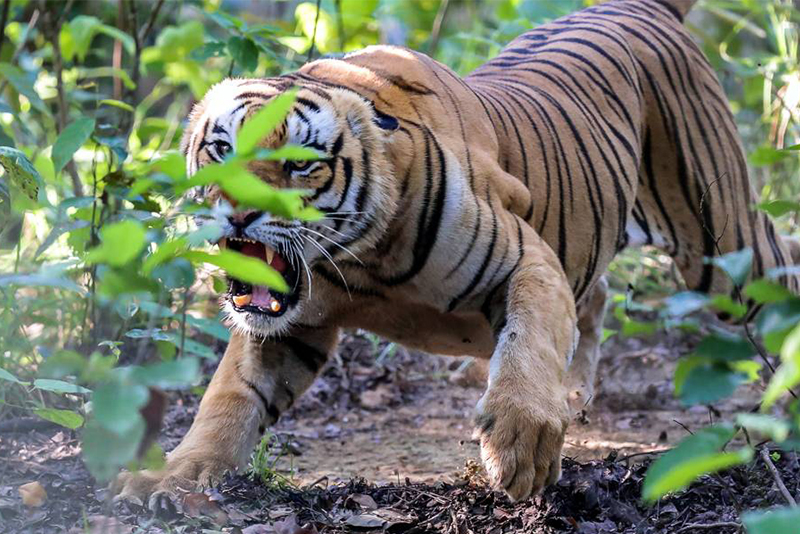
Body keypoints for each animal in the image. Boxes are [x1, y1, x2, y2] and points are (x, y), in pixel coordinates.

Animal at [115, 0, 800, 506]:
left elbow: (529, 342)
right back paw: (574, 395)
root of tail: (641, 5)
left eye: (300, 164)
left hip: (726, 248)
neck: (360, 260)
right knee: (598, 294)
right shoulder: (289, 328)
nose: (237, 213)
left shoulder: (528, 261)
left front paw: (520, 445)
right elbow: (229, 398)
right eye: (221, 149)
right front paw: (170, 474)